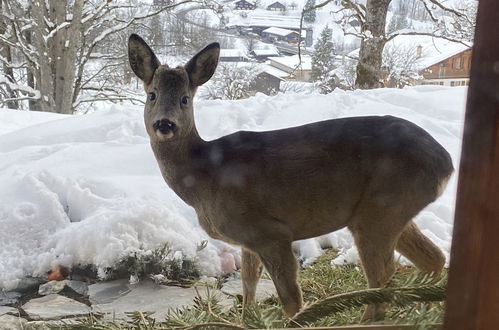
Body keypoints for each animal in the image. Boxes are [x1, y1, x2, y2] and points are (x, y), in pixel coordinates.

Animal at [128, 34, 454, 320]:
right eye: (151, 95)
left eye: (185, 99)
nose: (165, 124)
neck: (204, 176)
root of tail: (446, 163)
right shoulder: (248, 240)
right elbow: (248, 284)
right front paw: (247, 319)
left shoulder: (269, 231)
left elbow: (291, 298)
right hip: (390, 211)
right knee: (433, 258)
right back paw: (422, 311)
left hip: (382, 208)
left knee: (383, 278)